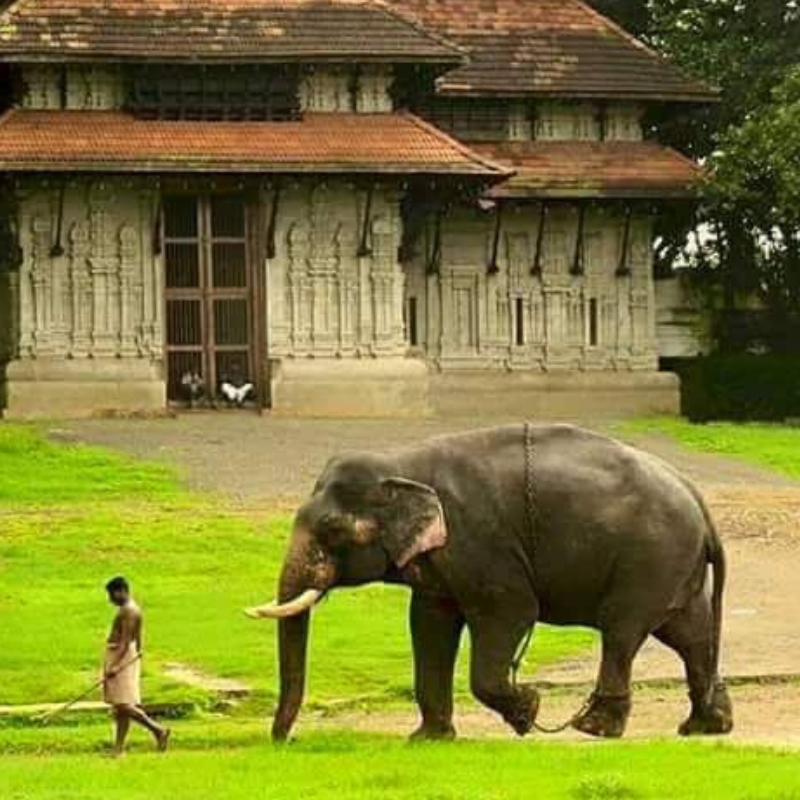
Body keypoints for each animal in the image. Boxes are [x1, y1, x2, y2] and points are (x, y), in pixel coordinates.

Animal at [246, 424, 734, 742]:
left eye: (331, 530)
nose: (285, 741)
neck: (402, 462)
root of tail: (699, 501)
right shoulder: (440, 565)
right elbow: (429, 624)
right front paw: (428, 739)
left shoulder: (483, 543)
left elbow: (511, 612)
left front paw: (527, 713)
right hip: (674, 565)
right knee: (690, 634)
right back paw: (706, 727)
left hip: (650, 558)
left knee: (622, 629)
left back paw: (594, 728)